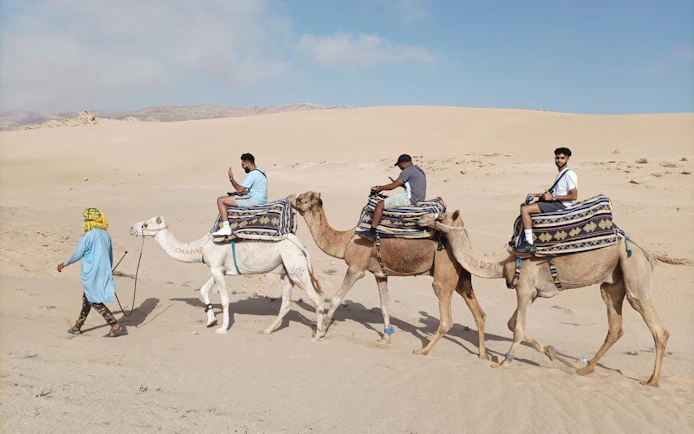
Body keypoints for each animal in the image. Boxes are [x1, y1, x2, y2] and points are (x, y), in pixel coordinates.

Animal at [129, 216, 326, 339]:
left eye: (145, 224)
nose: (131, 227)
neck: (201, 246)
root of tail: (302, 246)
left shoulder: (216, 267)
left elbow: (224, 299)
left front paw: (223, 328)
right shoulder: (218, 269)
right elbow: (204, 289)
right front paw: (211, 321)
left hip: (297, 268)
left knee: (318, 300)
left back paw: (317, 335)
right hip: (287, 272)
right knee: (285, 304)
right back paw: (267, 330)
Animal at [288, 191, 488, 358]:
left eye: (301, 198)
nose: (289, 198)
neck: (345, 241)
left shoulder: (356, 268)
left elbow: (336, 299)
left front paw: (321, 331)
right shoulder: (380, 273)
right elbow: (385, 306)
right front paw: (385, 338)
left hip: (444, 274)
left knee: (446, 318)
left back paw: (423, 350)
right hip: (461, 276)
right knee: (479, 313)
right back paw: (482, 355)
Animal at [419, 211, 669, 386]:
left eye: (440, 216)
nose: (421, 218)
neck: (500, 262)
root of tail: (643, 249)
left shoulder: (524, 289)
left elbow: (518, 328)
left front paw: (505, 361)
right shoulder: (532, 292)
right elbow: (512, 324)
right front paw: (549, 351)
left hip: (633, 267)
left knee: (655, 325)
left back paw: (652, 381)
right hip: (612, 282)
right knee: (615, 324)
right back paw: (585, 368)